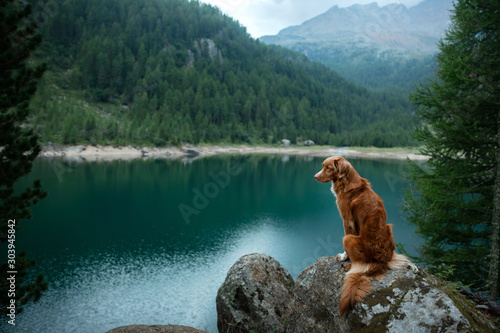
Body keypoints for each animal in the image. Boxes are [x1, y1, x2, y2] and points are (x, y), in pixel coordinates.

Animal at [314, 156, 408, 316]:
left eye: (328, 168)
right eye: (323, 166)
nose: (315, 176)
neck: (347, 183)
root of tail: (381, 262)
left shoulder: (347, 221)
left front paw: (343, 257)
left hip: (349, 239)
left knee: (359, 265)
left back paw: (349, 266)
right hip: (389, 228)